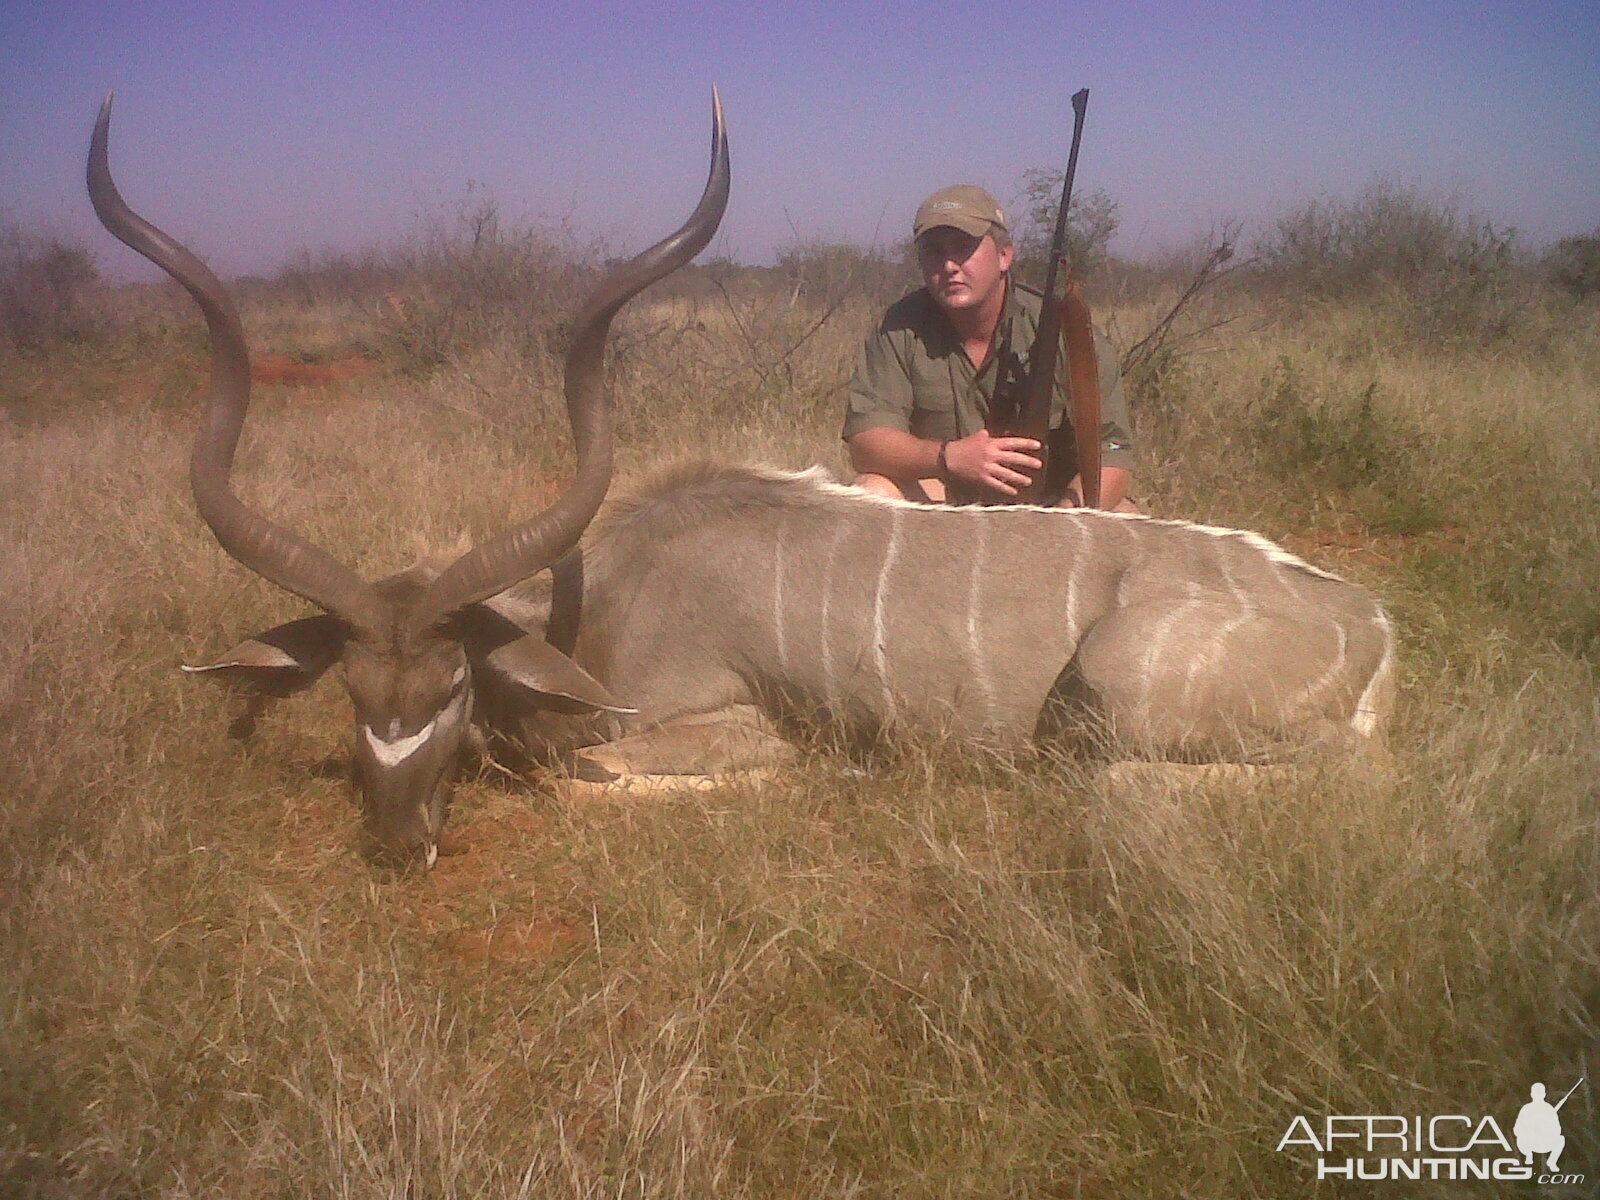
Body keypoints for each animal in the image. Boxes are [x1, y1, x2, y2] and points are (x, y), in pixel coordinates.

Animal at [90, 89, 1388, 870]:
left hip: (1114, 693)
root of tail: (1366, 624)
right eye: (357, 694)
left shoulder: (723, 725)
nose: (401, 846)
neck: (603, 604)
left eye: (452, 685)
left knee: (1175, 786)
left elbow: (593, 776)